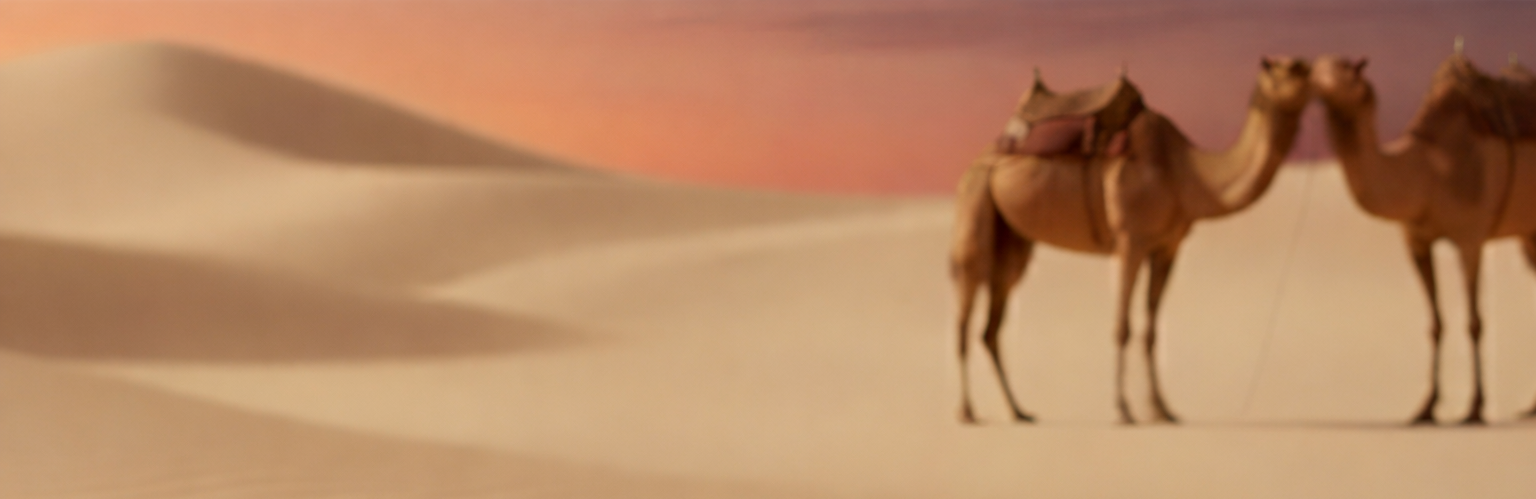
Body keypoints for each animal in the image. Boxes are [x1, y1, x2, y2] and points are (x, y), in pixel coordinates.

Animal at [951, 57, 1313, 425]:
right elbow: (1123, 326)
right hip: (976, 203)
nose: (1319, 74)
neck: (1186, 173)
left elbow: (1151, 330)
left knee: (991, 327)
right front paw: (1124, 410)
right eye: (1293, 68)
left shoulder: (1167, 247)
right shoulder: (1130, 239)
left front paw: (1162, 410)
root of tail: (987, 154)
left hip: (1012, 242)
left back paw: (1018, 411)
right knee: (965, 319)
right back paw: (967, 411)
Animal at [1312, 44, 1536, 425]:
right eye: (1313, 66)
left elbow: (1474, 322)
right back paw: (1532, 407)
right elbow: (1436, 323)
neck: (1428, 169)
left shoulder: (1470, 238)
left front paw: (1475, 407)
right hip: (1530, 236)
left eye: (1345, 70)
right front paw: (1426, 407)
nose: (1308, 82)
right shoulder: (1416, 241)